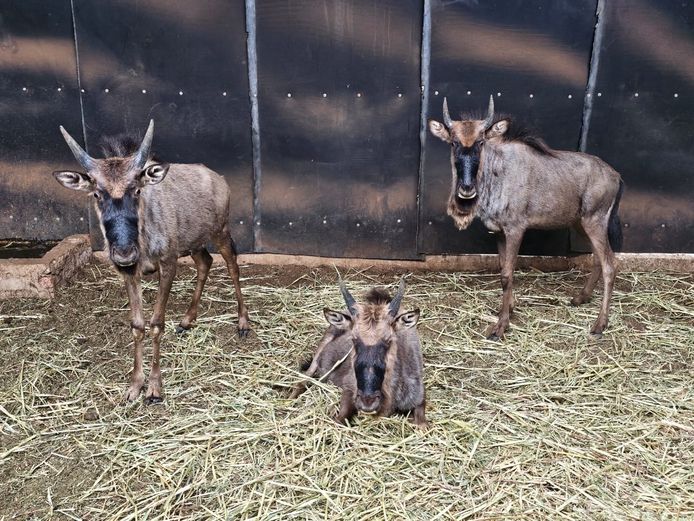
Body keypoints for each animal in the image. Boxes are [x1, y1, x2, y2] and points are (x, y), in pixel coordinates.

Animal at [53, 121, 250, 403]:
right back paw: (187, 320)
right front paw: (135, 385)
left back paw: (243, 323)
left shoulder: (168, 264)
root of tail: (218, 178)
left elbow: (156, 324)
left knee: (232, 265)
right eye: (97, 194)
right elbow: (137, 325)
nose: (124, 253)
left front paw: (155, 387)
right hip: (194, 242)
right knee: (205, 262)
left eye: (136, 189)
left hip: (220, 232)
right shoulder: (129, 273)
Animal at [291, 279, 428, 429]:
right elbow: (339, 420)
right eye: (353, 339)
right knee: (304, 379)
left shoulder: (419, 399)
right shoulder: (349, 389)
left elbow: (422, 424)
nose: (368, 401)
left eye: (389, 340)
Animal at [429, 96, 624, 339]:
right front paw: (509, 307)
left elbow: (507, 274)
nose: (466, 189)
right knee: (598, 258)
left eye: (481, 142)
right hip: (582, 223)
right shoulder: (499, 232)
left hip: (594, 221)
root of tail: (616, 176)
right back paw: (581, 297)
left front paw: (501, 325)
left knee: (610, 264)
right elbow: (503, 267)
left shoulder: (515, 229)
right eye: (453, 143)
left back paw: (600, 324)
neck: (498, 172)